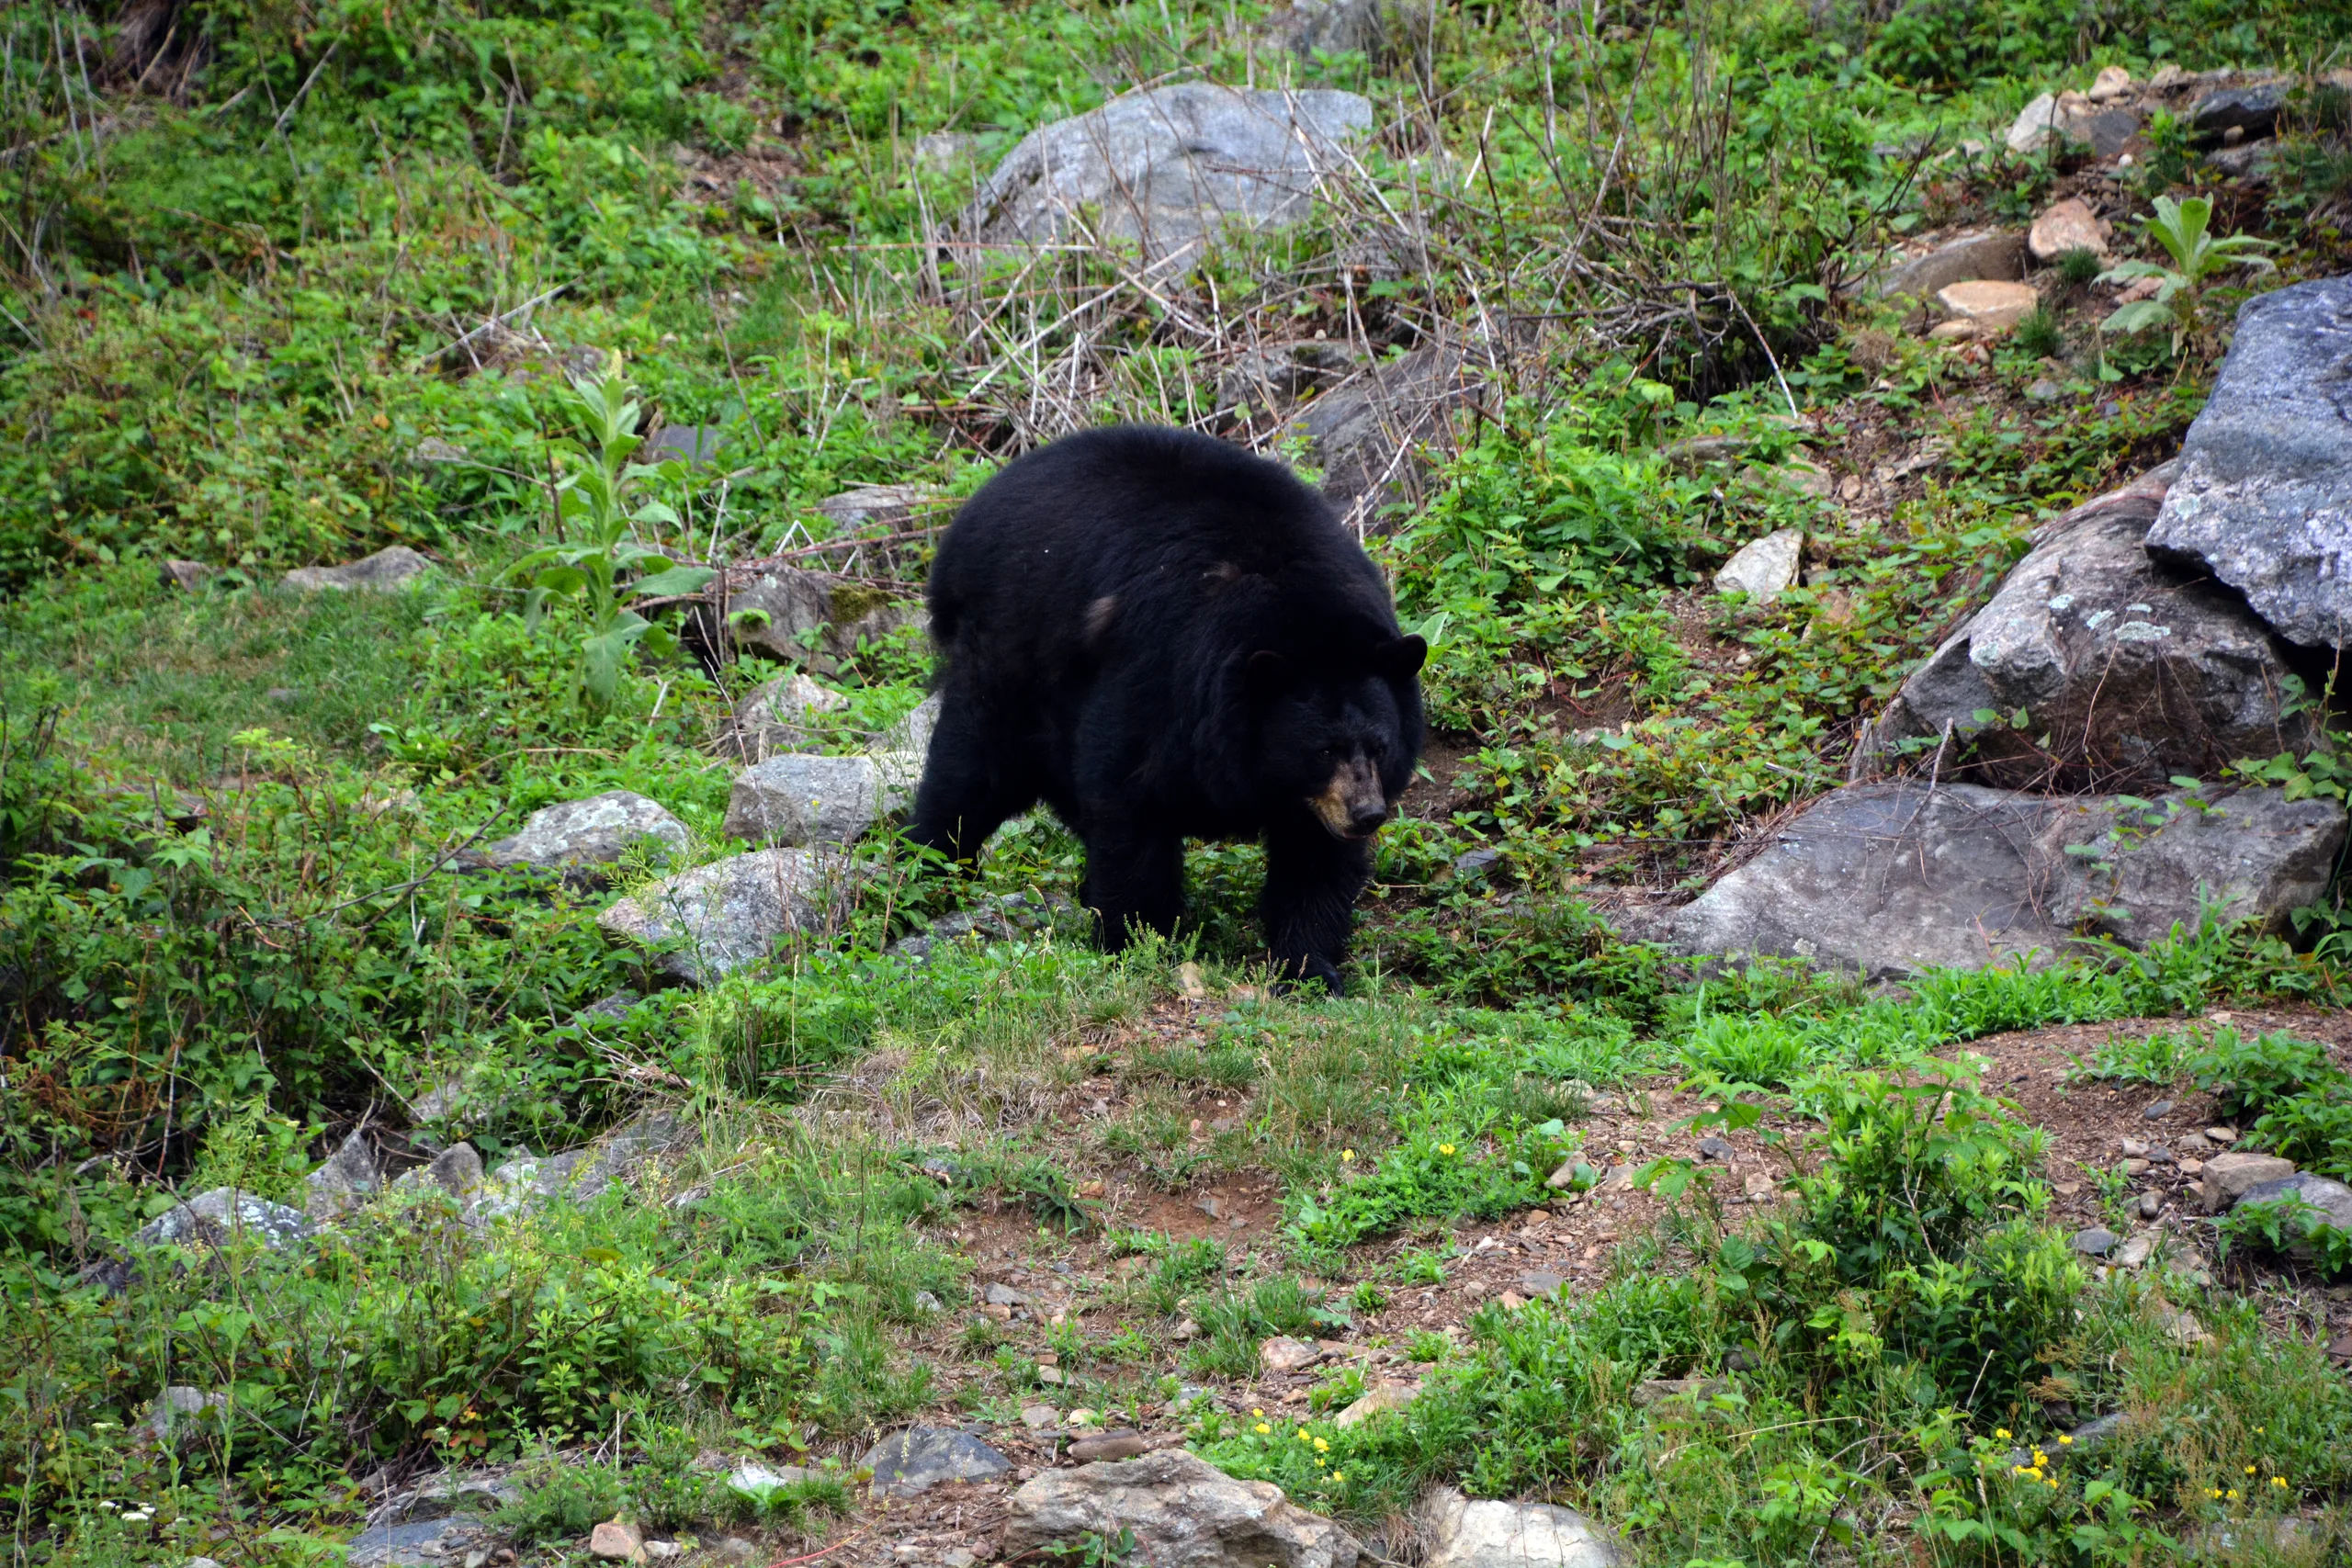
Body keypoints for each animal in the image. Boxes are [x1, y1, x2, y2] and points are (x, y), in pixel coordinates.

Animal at [906, 424, 1425, 993]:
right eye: (1323, 750)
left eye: (1380, 746)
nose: (1368, 814)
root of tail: (969, 516)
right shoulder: (1158, 673)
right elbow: (1129, 802)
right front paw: (1136, 941)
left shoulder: (1314, 796)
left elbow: (1315, 859)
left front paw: (1310, 968)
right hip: (1008, 655)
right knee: (971, 772)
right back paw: (928, 872)